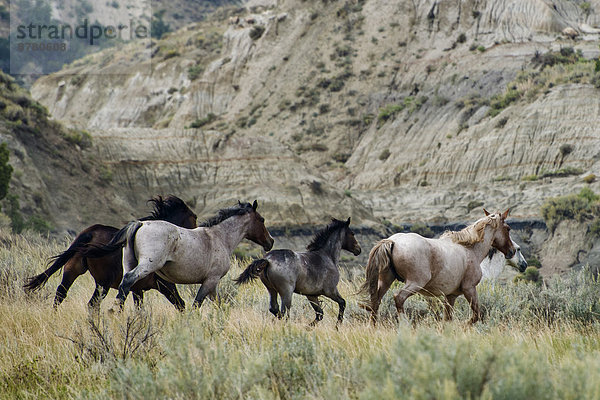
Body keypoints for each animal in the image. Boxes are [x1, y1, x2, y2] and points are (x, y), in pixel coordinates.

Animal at [23, 195, 197, 310]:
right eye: (193, 218)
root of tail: (91, 232)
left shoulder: (137, 290)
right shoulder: (166, 285)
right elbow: (181, 304)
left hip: (72, 271)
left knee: (60, 295)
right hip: (103, 283)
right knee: (92, 305)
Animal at [86, 202, 274, 310]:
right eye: (262, 220)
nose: (270, 242)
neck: (220, 237)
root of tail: (140, 224)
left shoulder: (212, 285)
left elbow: (218, 305)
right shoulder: (210, 281)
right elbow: (196, 305)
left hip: (129, 264)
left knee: (124, 285)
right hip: (146, 266)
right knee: (128, 281)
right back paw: (114, 310)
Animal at [360, 209, 516, 324]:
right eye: (508, 228)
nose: (512, 251)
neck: (469, 249)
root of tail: (393, 241)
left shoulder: (451, 296)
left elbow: (448, 319)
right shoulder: (469, 289)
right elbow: (476, 315)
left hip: (386, 280)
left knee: (375, 301)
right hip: (415, 283)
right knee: (398, 298)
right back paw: (405, 325)